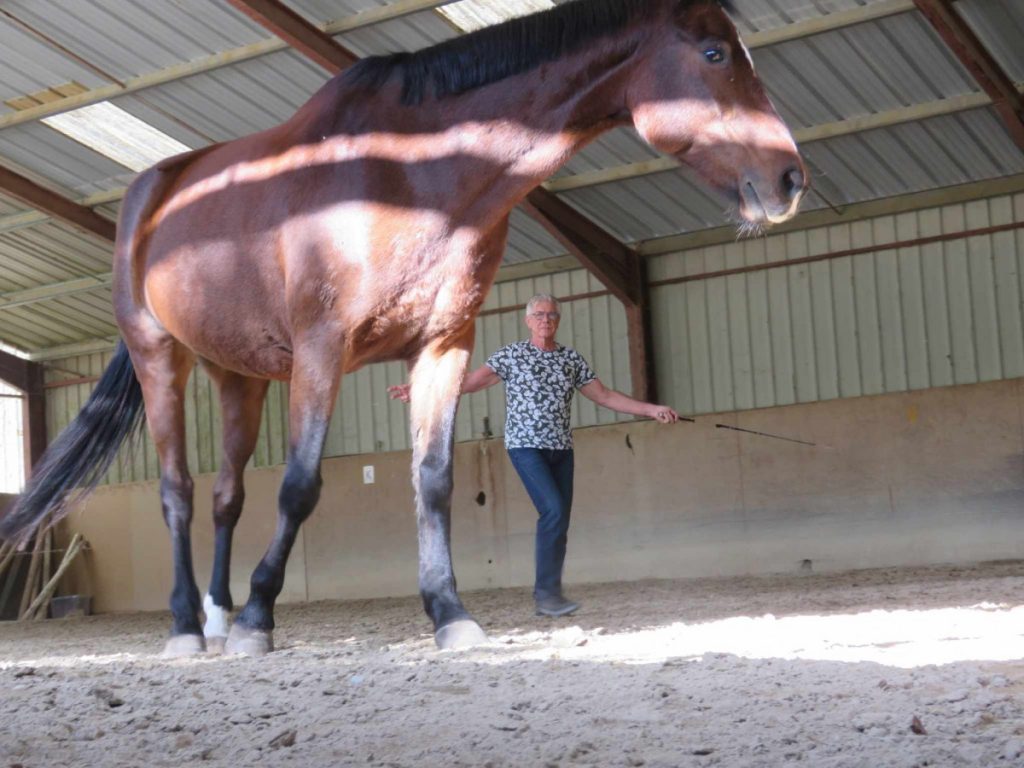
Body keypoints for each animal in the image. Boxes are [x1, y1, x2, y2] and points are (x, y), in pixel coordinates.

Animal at [0, 0, 806, 655]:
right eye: (714, 53)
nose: (790, 179)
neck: (413, 173)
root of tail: (152, 191)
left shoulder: (444, 346)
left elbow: (434, 481)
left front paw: (449, 613)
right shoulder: (321, 349)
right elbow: (300, 486)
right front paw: (263, 617)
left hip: (240, 375)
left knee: (227, 495)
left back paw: (218, 617)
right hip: (159, 356)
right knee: (179, 493)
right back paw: (186, 630)